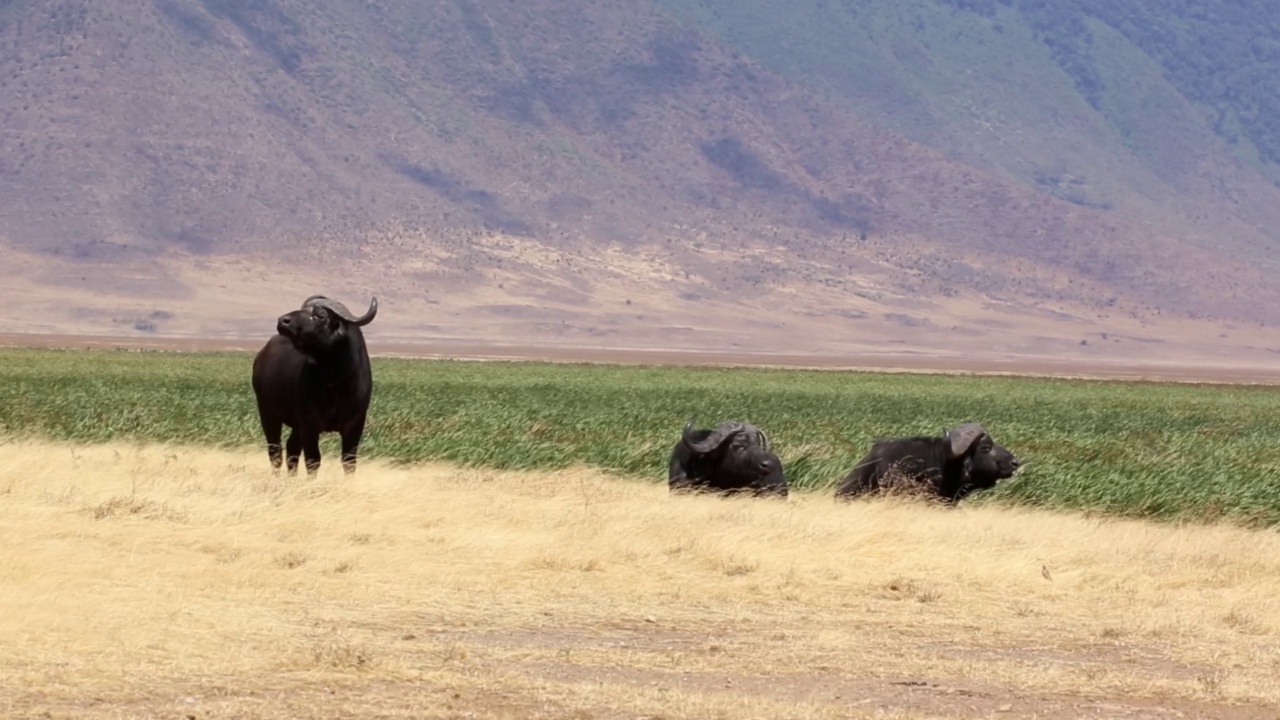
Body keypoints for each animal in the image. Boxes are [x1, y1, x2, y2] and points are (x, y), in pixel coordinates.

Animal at [252, 292, 376, 476]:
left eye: (320, 315)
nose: (283, 320)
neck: (335, 383)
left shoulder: (355, 424)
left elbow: (349, 461)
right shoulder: (309, 423)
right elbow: (313, 460)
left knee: (291, 449)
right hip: (267, 413)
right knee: (275, 451)